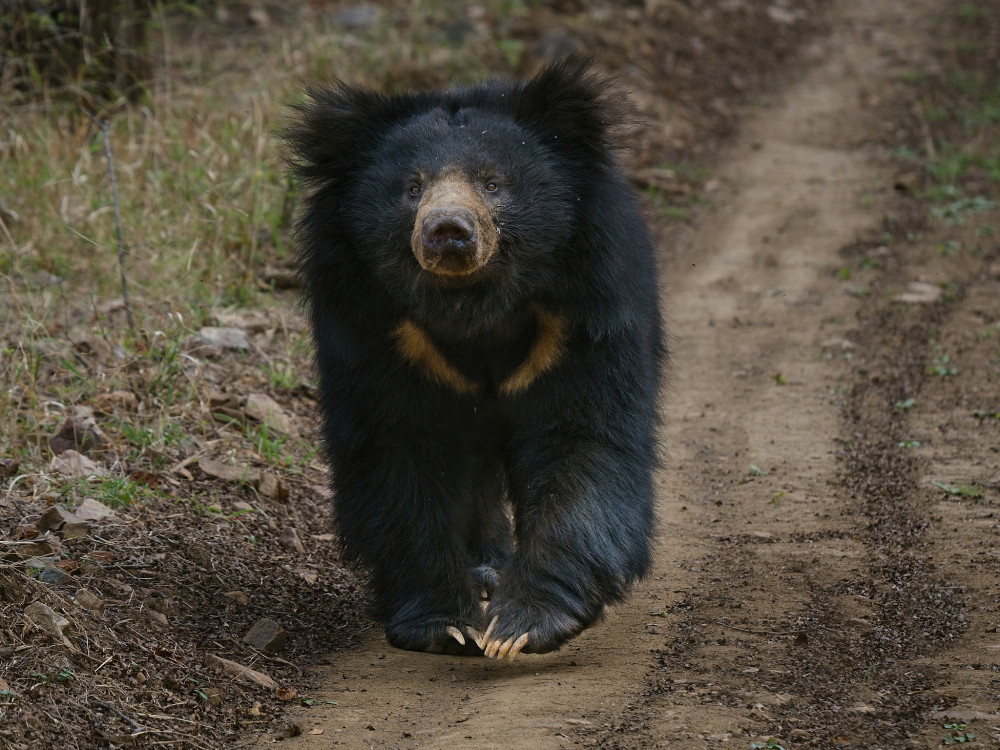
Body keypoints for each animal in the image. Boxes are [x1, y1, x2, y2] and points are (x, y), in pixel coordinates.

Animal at [282, 60, 664, 664]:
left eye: (492, 182)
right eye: (412, 188)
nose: (448, 232)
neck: (473, 305)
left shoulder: (581, 314)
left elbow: (583, 437)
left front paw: (520, 625)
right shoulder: (378, 329)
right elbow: (398, 450)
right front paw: (447, 624)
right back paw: (484, 569)